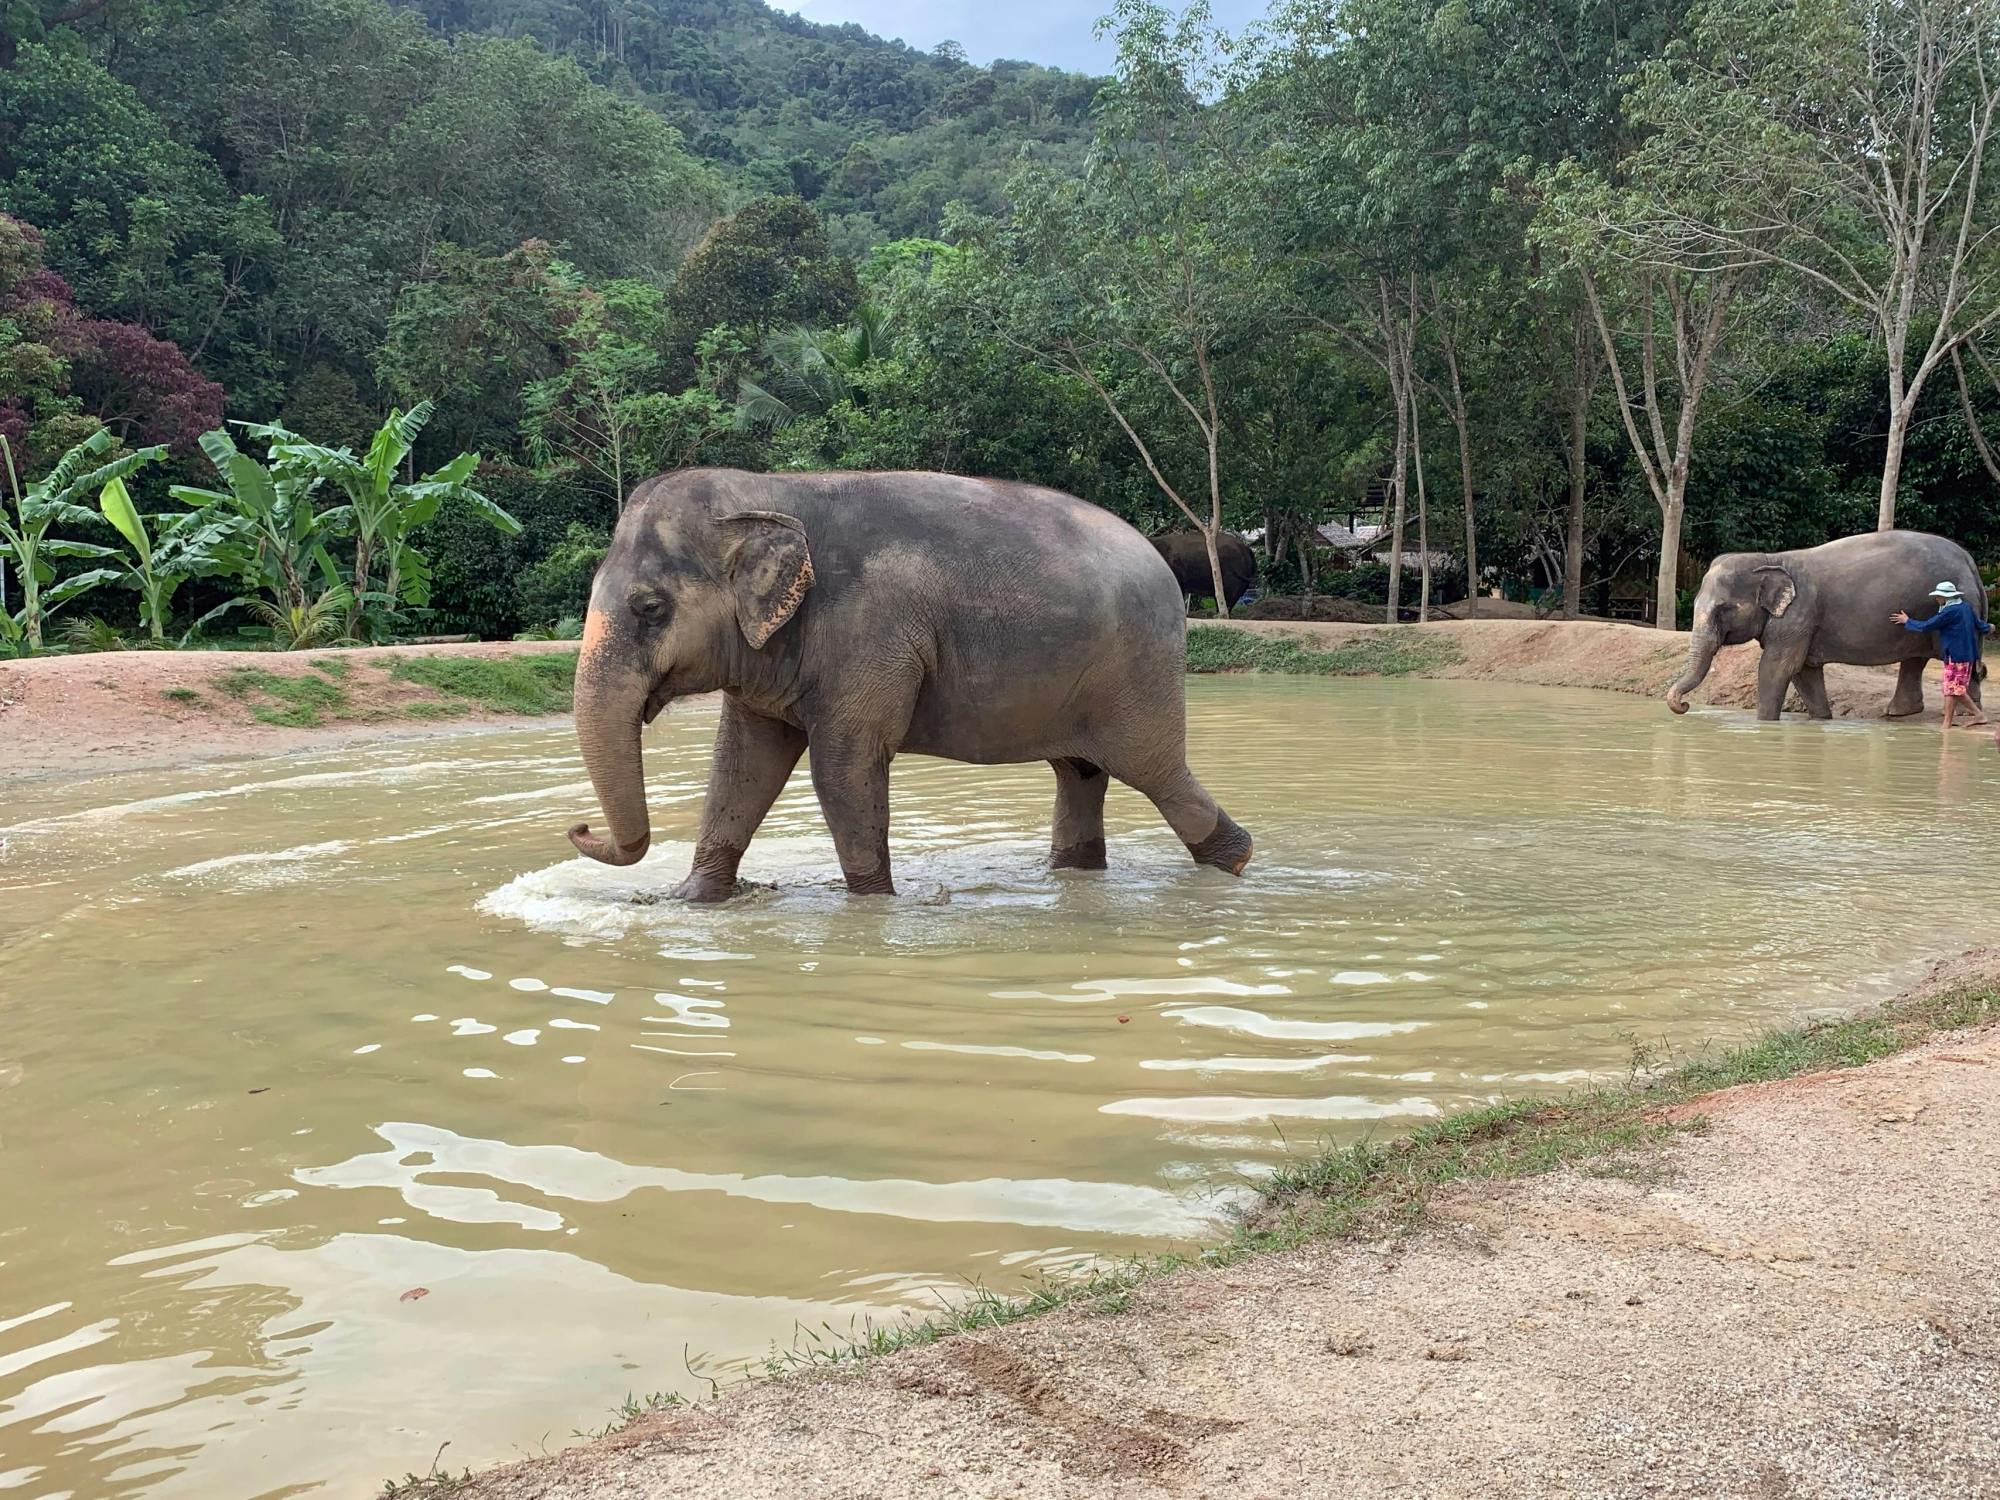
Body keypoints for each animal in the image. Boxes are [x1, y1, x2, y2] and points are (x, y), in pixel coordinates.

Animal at [564, 470, 1248, 900]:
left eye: (650, 609)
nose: (580, 828)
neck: (768, 489)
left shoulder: (869, 633)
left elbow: (842, 769)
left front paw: (873, 908)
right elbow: (742, 766)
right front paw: (690, 901)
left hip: (1136, 672)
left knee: (1154, 772)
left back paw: (1235, 862)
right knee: (1080, 772)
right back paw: (1076, 875)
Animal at [1664, 528, 1976, 724]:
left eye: (1724, 609)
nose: (1685, 705)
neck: (1770, 558)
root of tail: (1968, 559)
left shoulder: (1799, 613)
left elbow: (1777, 667)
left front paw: (1763, 723)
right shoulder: (1802, 624)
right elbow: (1804, 671)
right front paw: (1822, 719)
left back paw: (1963, 715)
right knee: (1916, 659)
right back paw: (1901, 713)